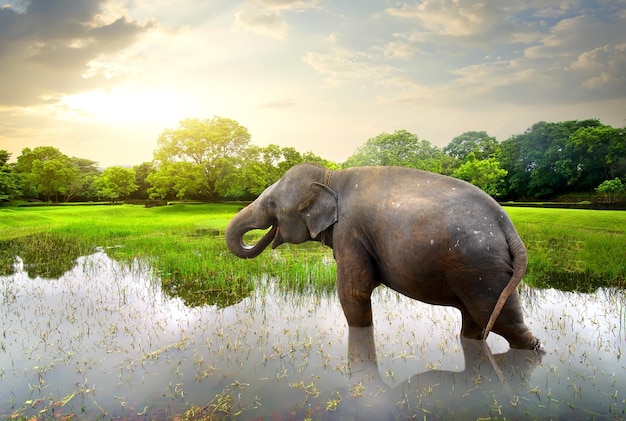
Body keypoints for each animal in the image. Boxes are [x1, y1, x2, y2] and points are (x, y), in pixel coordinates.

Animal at [225, 162, 540, 350]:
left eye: (271, 204)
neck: (330, 177)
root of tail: (506, 224)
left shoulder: (349, 231)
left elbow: (354, 291)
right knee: (476, 319)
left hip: (482, 267)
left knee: (504, 322)